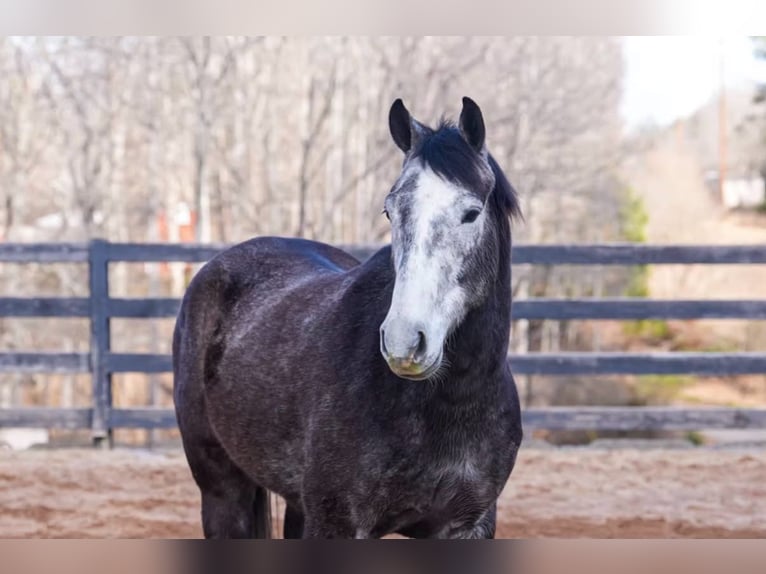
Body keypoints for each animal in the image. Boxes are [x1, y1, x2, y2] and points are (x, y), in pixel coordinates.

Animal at [173, 97, 523, 539]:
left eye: (471, 213)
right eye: (390, 211)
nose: (404, 342)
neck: (451, 404)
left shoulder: (469, 524)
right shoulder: (337, 523)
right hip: (222, 491)